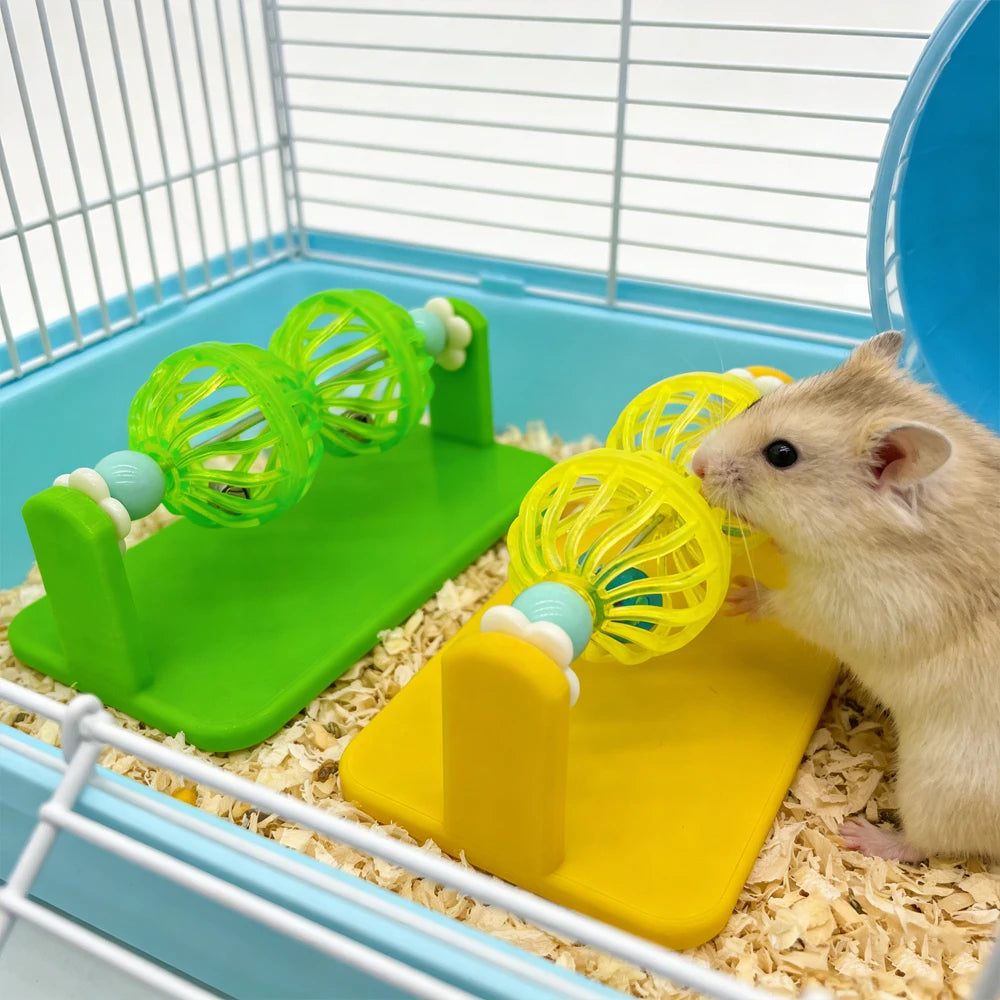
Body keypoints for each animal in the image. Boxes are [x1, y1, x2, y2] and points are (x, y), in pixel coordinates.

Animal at [690, 331, 1000, 863]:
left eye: (782, 454)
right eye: (755, 402)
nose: (695, 464)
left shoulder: (847, 604)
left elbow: (784, 602)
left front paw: (739, 594)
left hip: (939, 786)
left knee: (926, 844)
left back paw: (859, 835)